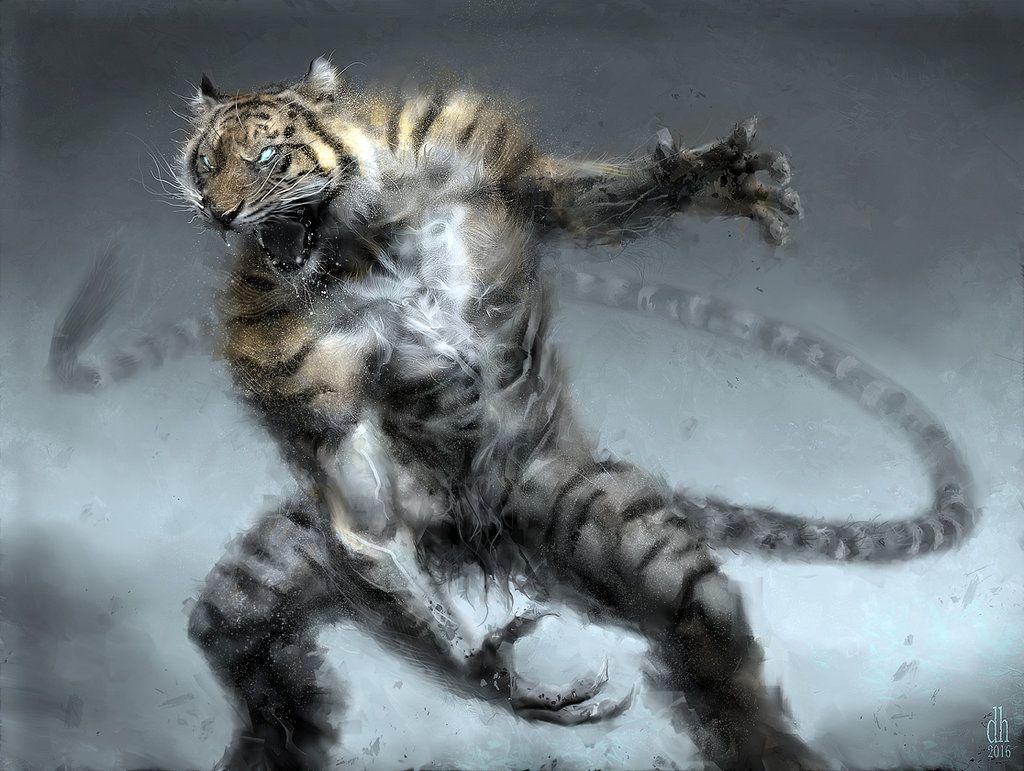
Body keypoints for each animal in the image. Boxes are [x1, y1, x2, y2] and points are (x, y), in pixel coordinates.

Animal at [50, 57, 977, 770]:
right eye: (206, 162)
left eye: (272, 155)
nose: (220, 211)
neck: (359, 241)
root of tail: (481, 541)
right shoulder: (316, 410)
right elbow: (363, 511)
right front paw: (493, 672)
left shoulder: (496, 169)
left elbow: (589, 196)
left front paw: (714, 176)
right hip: (279, 568)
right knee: (243, 636)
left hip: (608, 521)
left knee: (708, 628)